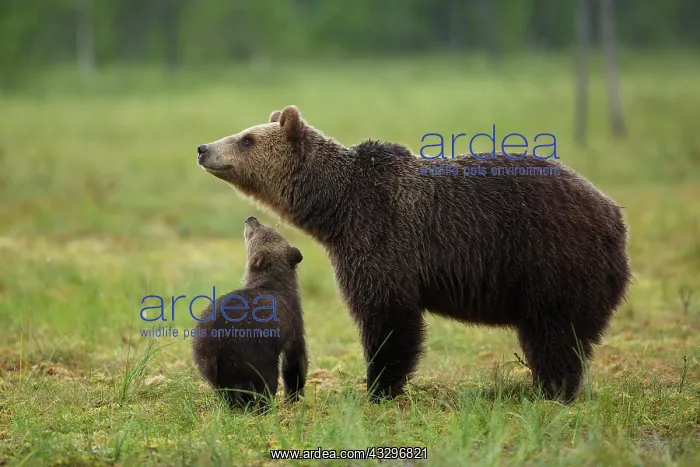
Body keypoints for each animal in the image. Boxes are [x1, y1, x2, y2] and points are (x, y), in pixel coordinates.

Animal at [191, 216, 307, 411]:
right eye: (259, 231)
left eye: (266, 228)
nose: (250, 219)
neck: (273, 285)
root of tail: (214, 347)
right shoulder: (294, 325)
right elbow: (295, 363)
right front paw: (293, 398)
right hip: (257, 357)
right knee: (264, 385)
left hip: (211, 365)